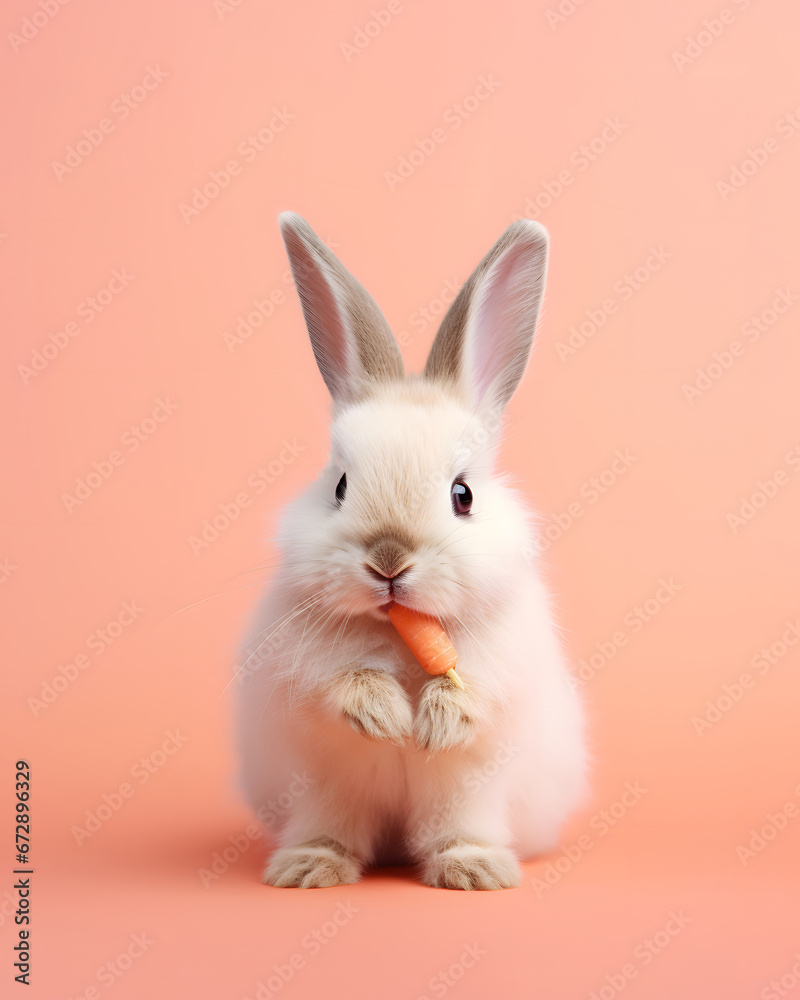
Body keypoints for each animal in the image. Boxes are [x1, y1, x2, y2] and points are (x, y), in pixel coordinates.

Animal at [234, 213, 584, 892]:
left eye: (462, 495)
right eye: (340, 487)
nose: (389, 560)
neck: (400, 632)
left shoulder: (502, 665)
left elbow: (476, 691)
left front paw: (433, 724)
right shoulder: (298, 669)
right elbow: (341, 682)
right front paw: (387, 719)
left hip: (468, 799)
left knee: (457, 828)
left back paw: (476, 869)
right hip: (321, 795)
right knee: (332, 827)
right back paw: (308, 867)